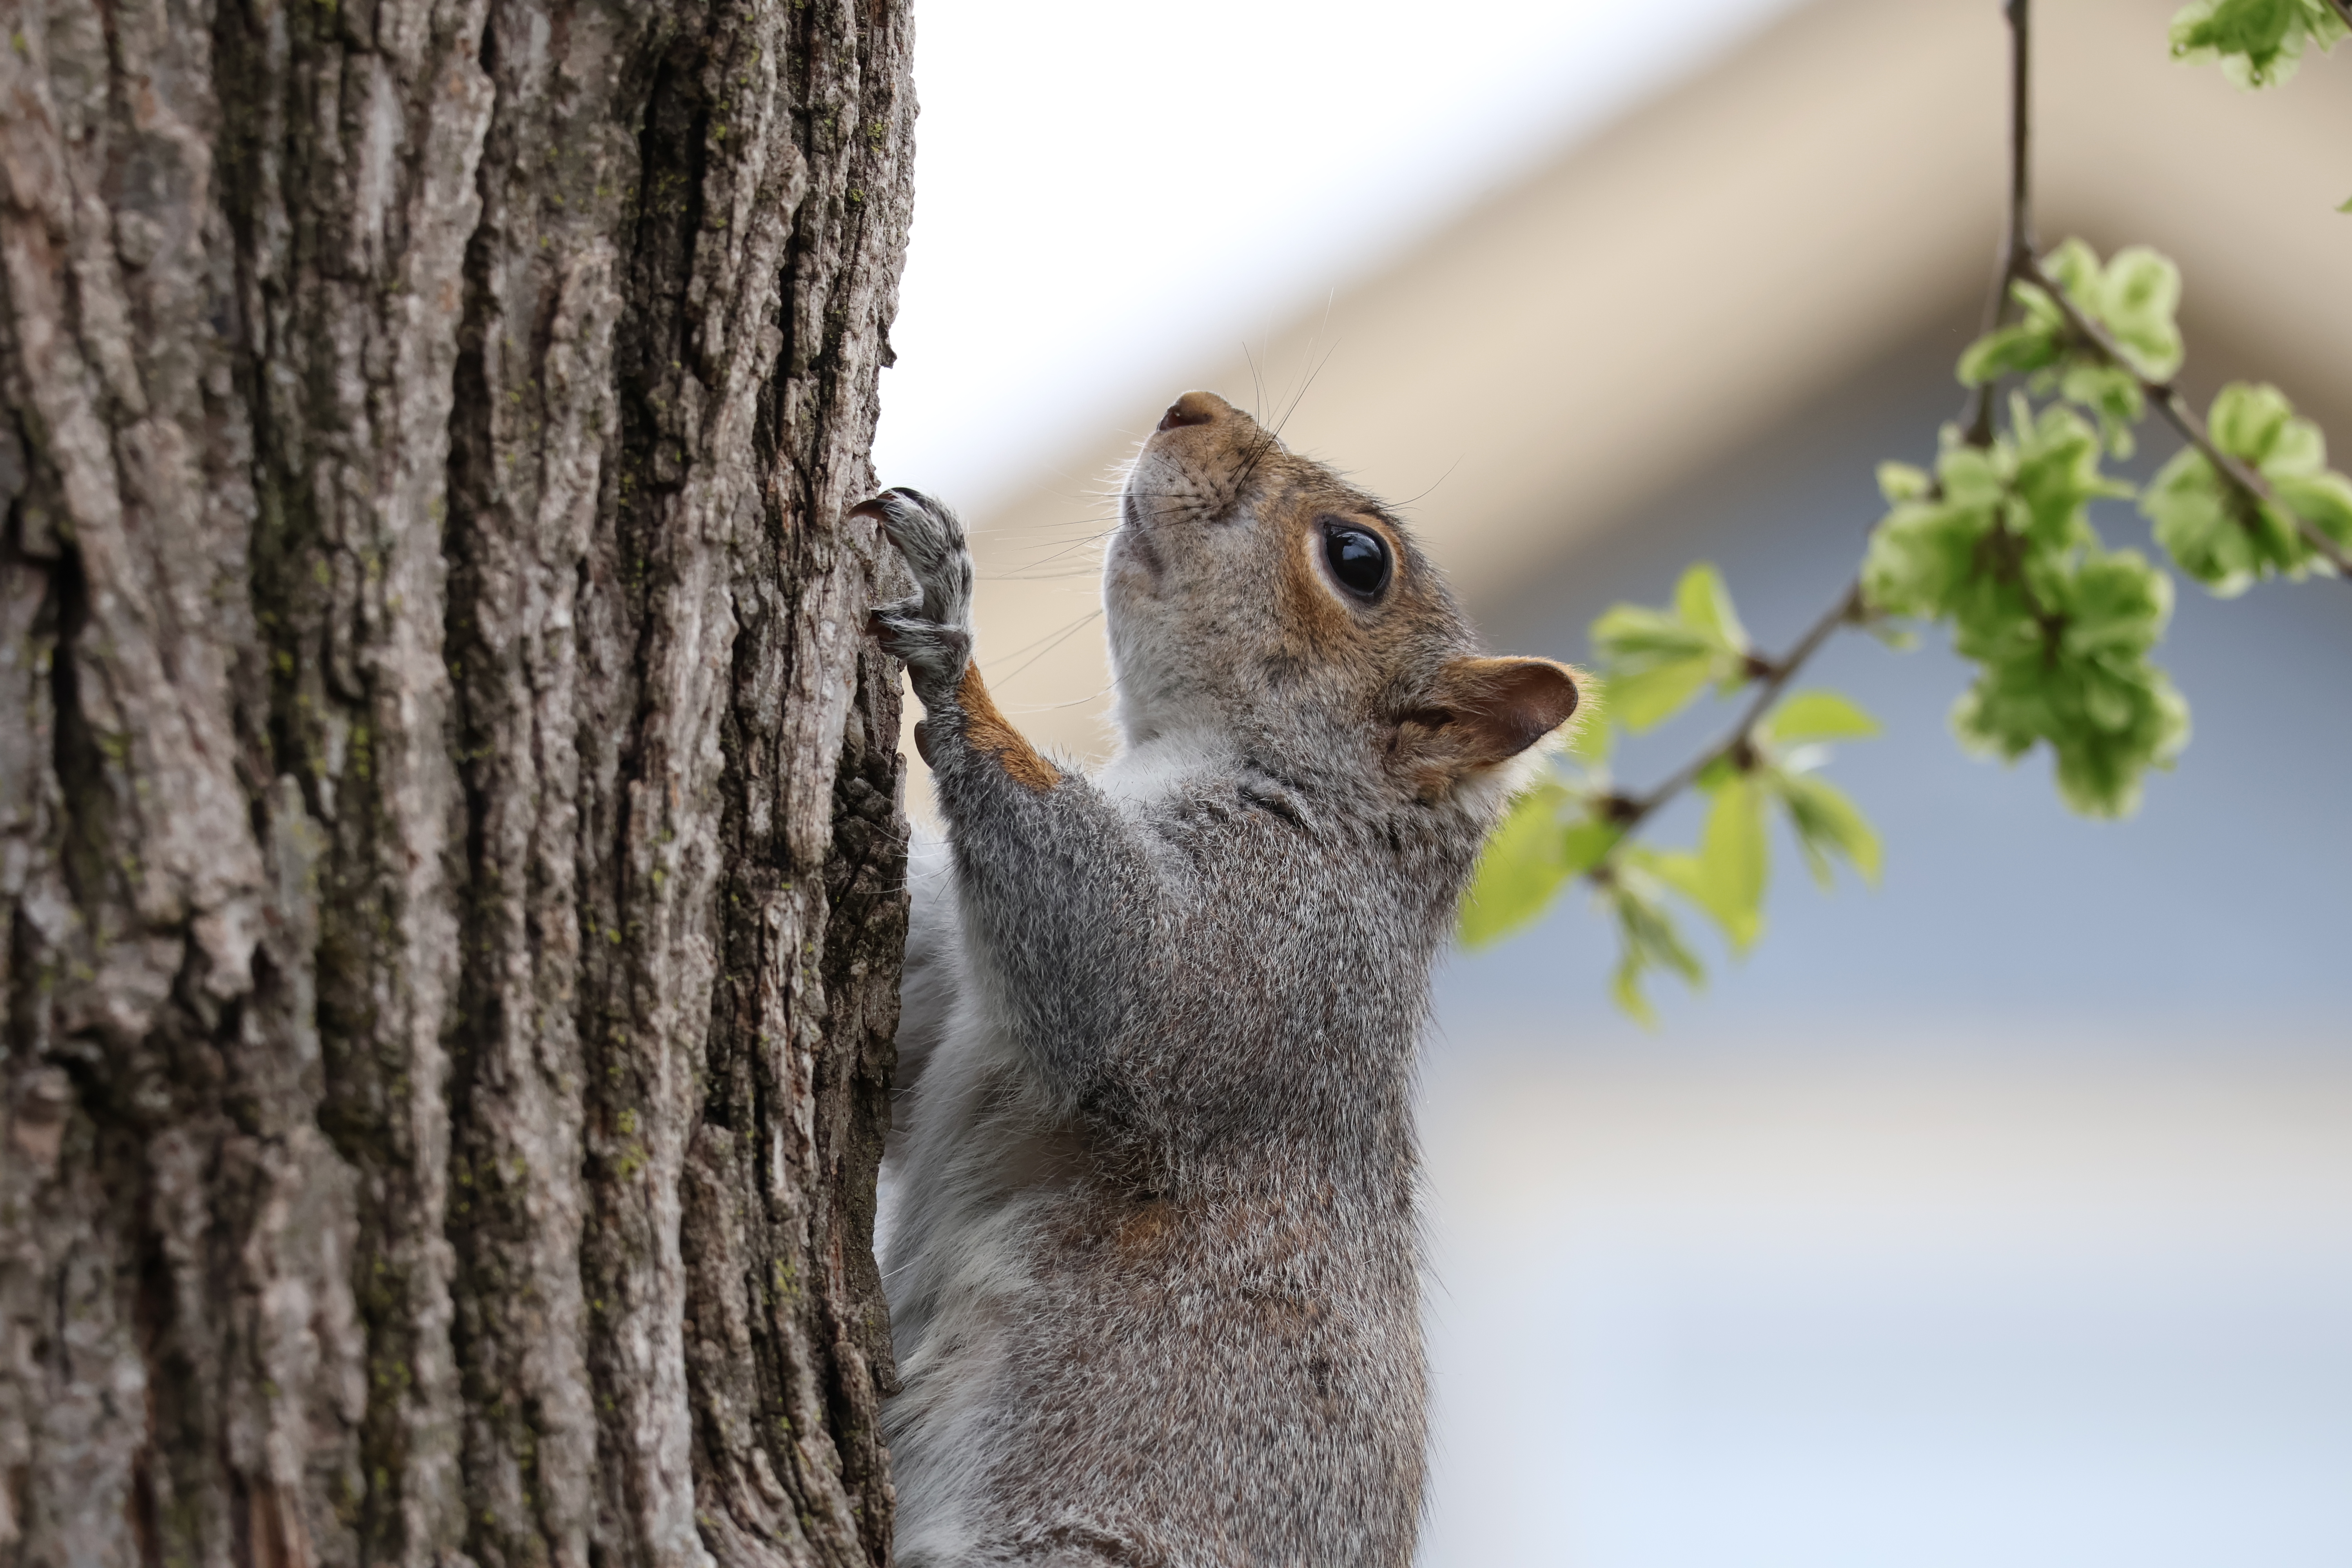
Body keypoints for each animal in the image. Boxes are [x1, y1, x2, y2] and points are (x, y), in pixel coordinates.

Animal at [858, 390, 1581, 1567]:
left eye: (1359, 561)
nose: (1191, 406)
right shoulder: (949, 998)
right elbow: (909, 1040)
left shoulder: (1266, 939)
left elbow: (1113, 967)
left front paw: (952, 643)